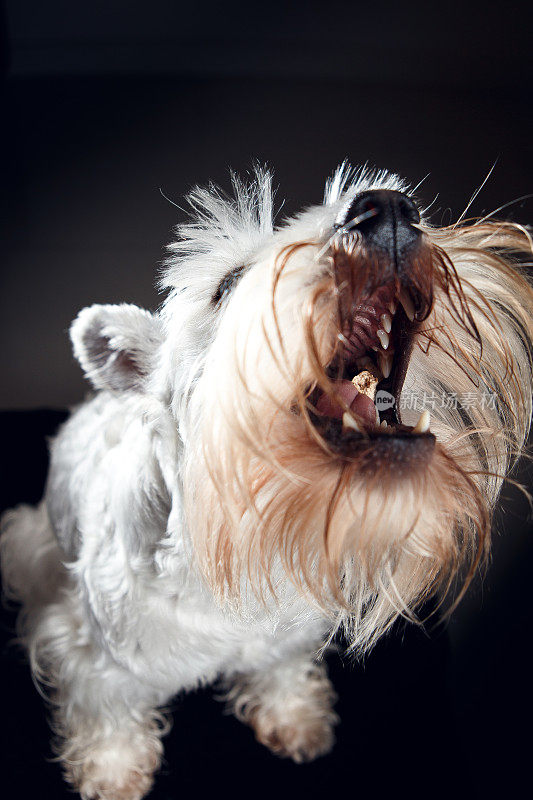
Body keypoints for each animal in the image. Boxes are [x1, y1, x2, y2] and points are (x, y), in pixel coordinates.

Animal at [1, 164, 532, 800]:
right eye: (227, 283)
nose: (390, 213)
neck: (227, 543)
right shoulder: (95, 658)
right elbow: (109, 715)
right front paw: (112, 772)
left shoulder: (281, 636)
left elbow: (279, 672)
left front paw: (295, 719)